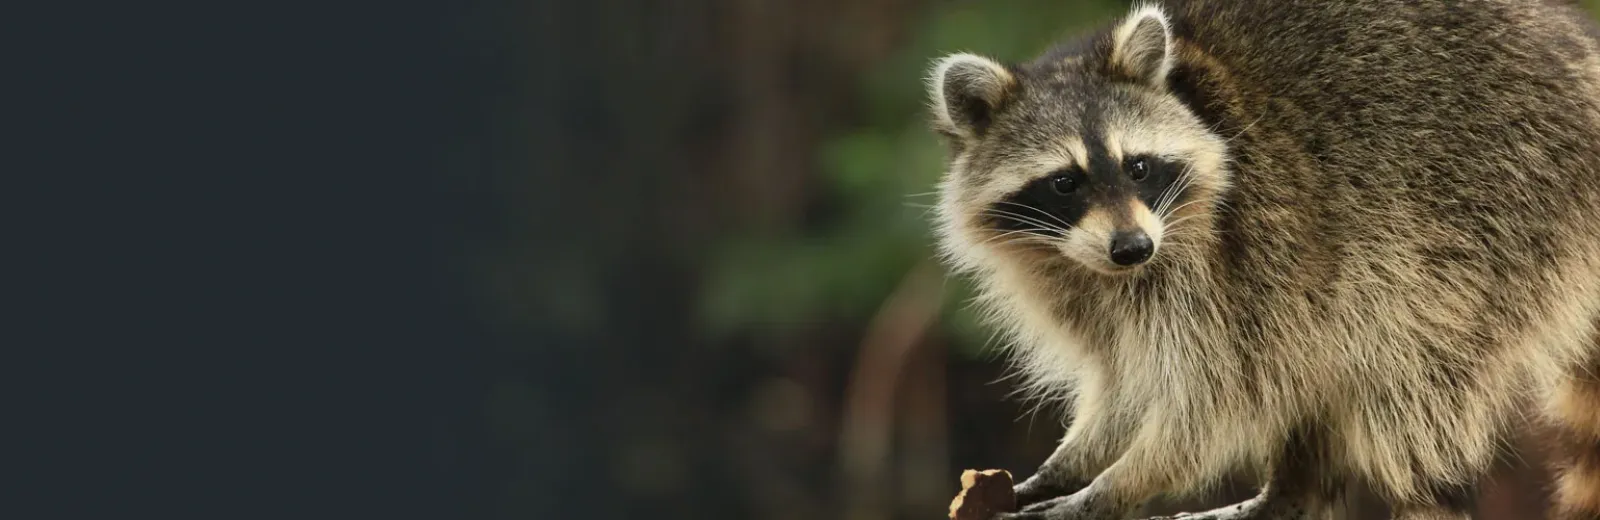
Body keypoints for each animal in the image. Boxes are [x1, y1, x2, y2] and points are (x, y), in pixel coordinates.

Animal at [934, 1, 1600, 518]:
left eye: (1138, 167)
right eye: (1065, 183)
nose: (1132, 248)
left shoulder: (1232, 254)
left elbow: (1211, 398)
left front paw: (1113, 486)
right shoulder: (1082, 284)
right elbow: (1126, 381)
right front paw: (1077, 458)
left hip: (1493, 208)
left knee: (1407, 363)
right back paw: (1294, 491)